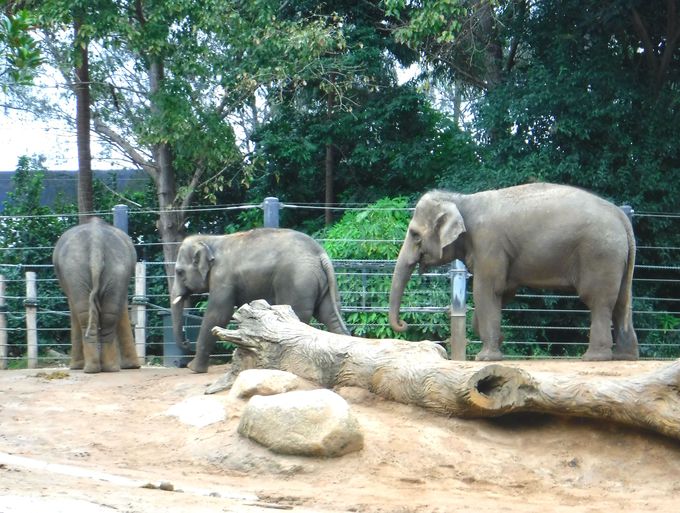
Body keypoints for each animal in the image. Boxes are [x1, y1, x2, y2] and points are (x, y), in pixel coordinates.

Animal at [52, 216, 141, 372]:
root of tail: (96, 241)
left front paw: (75, 367)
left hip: (76, 269)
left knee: (84, 314)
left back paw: (93, 368)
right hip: (117, 267)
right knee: (109, 314)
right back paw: (106, 368)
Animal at [170, 228, 350, 372]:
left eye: (179, 272)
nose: (186, 343)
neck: (210, 240)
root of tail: (320, 254)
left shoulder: (223, 279)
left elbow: (218, 315)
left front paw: (193, 369)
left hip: (298, 282)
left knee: (299, 317)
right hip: (322, 283)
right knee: (330, 315)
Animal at [388, 183, 636, 360]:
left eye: (415, 235)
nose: (403, 325)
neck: (461, 199)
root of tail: (622, 216)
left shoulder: (488, 243)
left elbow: (487, 290)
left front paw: (486, 358)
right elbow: (503, 292)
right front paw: (498, 341)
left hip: (600, 254)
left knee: (598, 300)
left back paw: (595, 357)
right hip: (616, 258)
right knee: (622, 301)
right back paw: (625, 356)